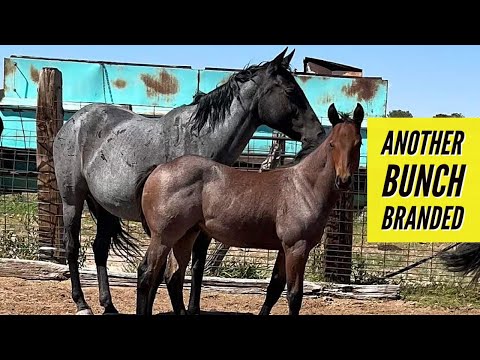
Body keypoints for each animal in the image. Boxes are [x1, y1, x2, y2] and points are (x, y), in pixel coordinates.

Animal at [54, 48, 328, 316]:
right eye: (291, 91)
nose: (318, 134)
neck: (199, 139)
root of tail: (74, 121)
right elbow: (164, 271)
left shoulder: (201, 227)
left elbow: (196, 266)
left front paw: (192, 309)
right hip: (72, 200)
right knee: (72, 246)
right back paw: (82, 304)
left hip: (105, 208)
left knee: (100, 248)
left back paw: (109, 306)